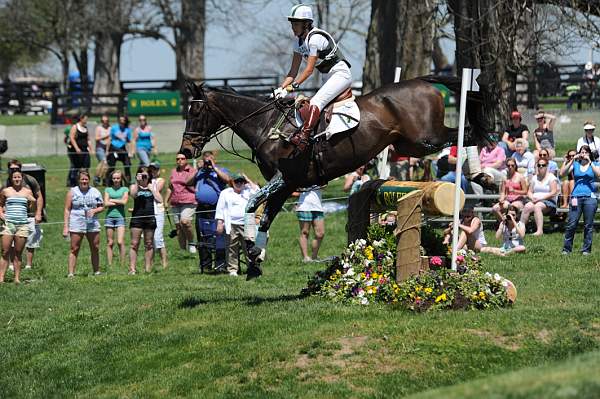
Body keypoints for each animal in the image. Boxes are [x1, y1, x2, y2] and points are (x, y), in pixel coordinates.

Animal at [180, 76, 490, 280]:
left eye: (195, 112)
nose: (186, 151)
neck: (267, 128)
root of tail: (423, 82)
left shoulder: (285, 179)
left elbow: (250, 204)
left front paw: (251, 252)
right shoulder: (286, 186)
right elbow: (265, 218)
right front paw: (255, 260)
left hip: (426, 137)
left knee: (466, 133)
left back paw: (480, 174)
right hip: (407, 144)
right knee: (465, 134)